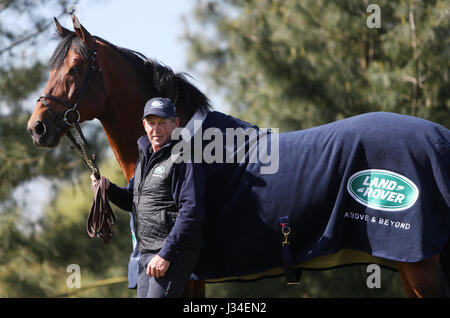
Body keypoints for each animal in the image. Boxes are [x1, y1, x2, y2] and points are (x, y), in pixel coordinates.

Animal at [28, 17, 450, 296]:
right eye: (51, 67)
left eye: (75, 67)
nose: (37, 127)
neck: (179, 140)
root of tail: (440, 139)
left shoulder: (181, 273)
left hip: (420, 265)